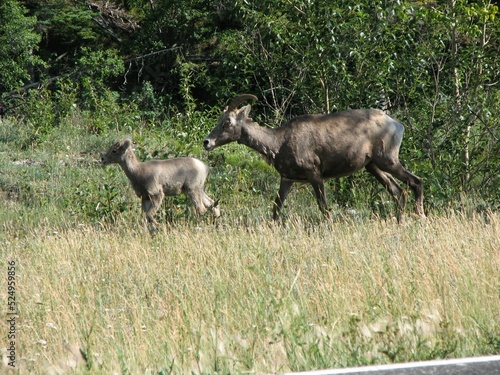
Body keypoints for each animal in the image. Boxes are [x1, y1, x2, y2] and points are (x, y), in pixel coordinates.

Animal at [205, 95, 424, 222]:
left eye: (227, 122)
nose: (207, 142)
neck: (278, 143)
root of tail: (397, 125)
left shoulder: (314, 173)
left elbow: (324, 208)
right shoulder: (288, 178)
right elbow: (276, 208)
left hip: (387, 159)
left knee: (416, 181)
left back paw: (419, 217)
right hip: (373, 166)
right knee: (398, 192)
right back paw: (400, 222)